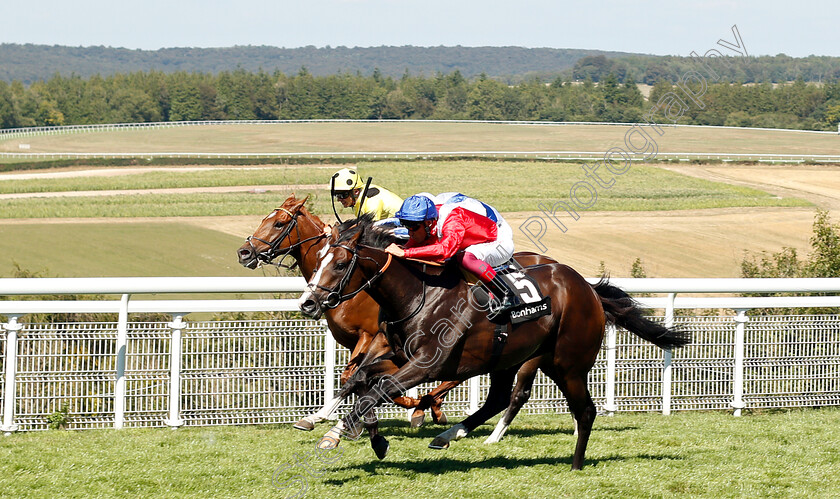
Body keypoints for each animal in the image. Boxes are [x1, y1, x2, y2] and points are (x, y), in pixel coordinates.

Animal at [296, 217, 688, 470]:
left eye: (341, 263)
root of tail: (589, 290)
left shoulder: (428, 364)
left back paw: (576, 465)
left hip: (567, 364)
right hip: (512, 358)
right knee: (500, 397)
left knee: (583, 410)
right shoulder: (398, 355)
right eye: (319, 259)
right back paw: (449, 434)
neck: (418, 293)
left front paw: (348, 431)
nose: (308, 303)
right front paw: (356, 431)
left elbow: (378, 388)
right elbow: (364, 381)